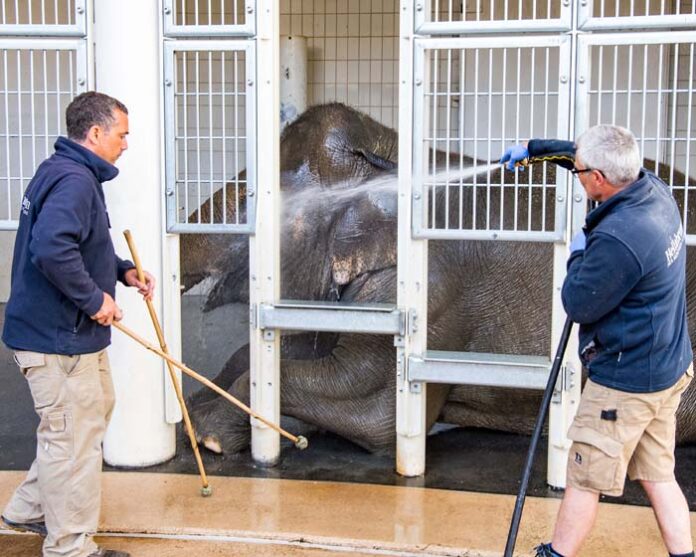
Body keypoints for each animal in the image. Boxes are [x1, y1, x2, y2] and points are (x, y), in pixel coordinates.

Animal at [181, 102, 696, 454]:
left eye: (251, 201)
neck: (393, 151)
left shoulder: (434, 293)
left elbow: (376, 416)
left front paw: (207, 436)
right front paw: (196, 410)